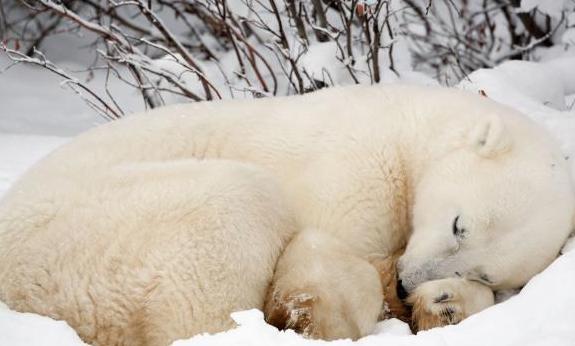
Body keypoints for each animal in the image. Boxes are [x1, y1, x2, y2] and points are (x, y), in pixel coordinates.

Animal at [1, 84, 575, 346]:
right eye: (459, 224)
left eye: (486, 272)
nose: (408, 283)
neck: (408, 128)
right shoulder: (353, 167)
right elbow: (325, 247)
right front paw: (320, 312)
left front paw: (445, 305)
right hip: (96, 233)